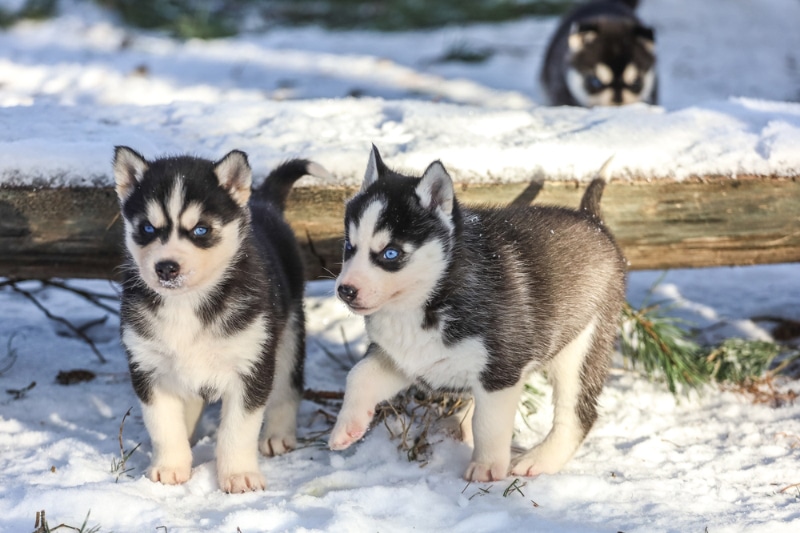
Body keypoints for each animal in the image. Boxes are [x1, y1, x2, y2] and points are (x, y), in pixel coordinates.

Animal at [113, 148, 324, 492]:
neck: (187, 303)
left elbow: (238, 430)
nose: (166, 267)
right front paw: (170, 467)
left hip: (288, 335)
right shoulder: (148, 367)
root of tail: (263, 202)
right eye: (147, 229)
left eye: (201, 229)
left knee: (287, 387)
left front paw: (239, 475)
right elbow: (163, 425)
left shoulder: (250, 367)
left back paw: (278, 435)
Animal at [328, 147, 628, 482]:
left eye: (391, 253)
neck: (430, 300)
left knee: (578, 414)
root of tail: (591, 219)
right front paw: (347, 427)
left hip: (582, 346)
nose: (345, 290)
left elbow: (489, 423)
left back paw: (540, 459)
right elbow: (358, 375)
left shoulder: (501, 370)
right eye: (349, 246)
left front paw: (485, 468)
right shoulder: (401, 358)